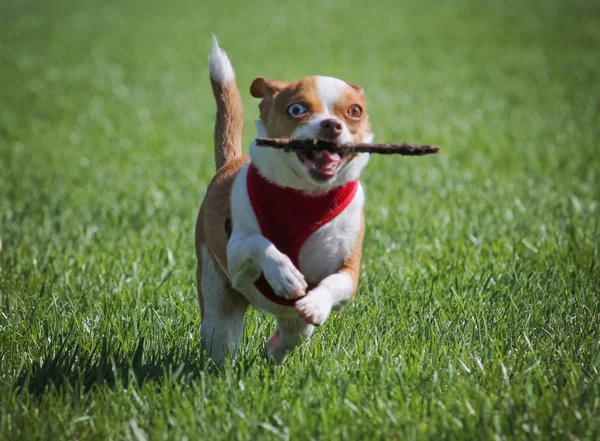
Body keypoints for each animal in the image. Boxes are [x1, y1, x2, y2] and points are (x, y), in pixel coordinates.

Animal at [197, 37, 372, 360]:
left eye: (355, 111)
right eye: (297, 109)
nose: (332, 124)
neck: (305, 195)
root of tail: (231, 161)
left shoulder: (349, 272)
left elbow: (332, 282)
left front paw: (315, 302)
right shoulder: (236, 252)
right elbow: (259, 243)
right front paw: (285, 275)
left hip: (295, 326)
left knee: (289, 337)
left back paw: (272, 351)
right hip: (218, 310)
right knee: (223, 341)